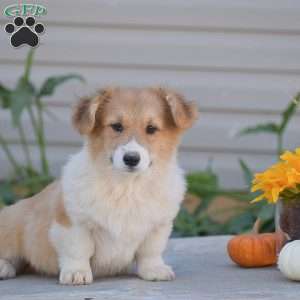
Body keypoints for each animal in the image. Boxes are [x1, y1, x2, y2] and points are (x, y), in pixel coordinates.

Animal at [0, 86, 199, 284]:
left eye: (151, 128)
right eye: (117, 126)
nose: (131, 159)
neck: (127, 187)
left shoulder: (158, 226)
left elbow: (150, 252)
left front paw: (154, 269)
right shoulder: (74, 223)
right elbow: (78, 250)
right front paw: (77, 272)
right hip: (11, 227)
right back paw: (4, 267)